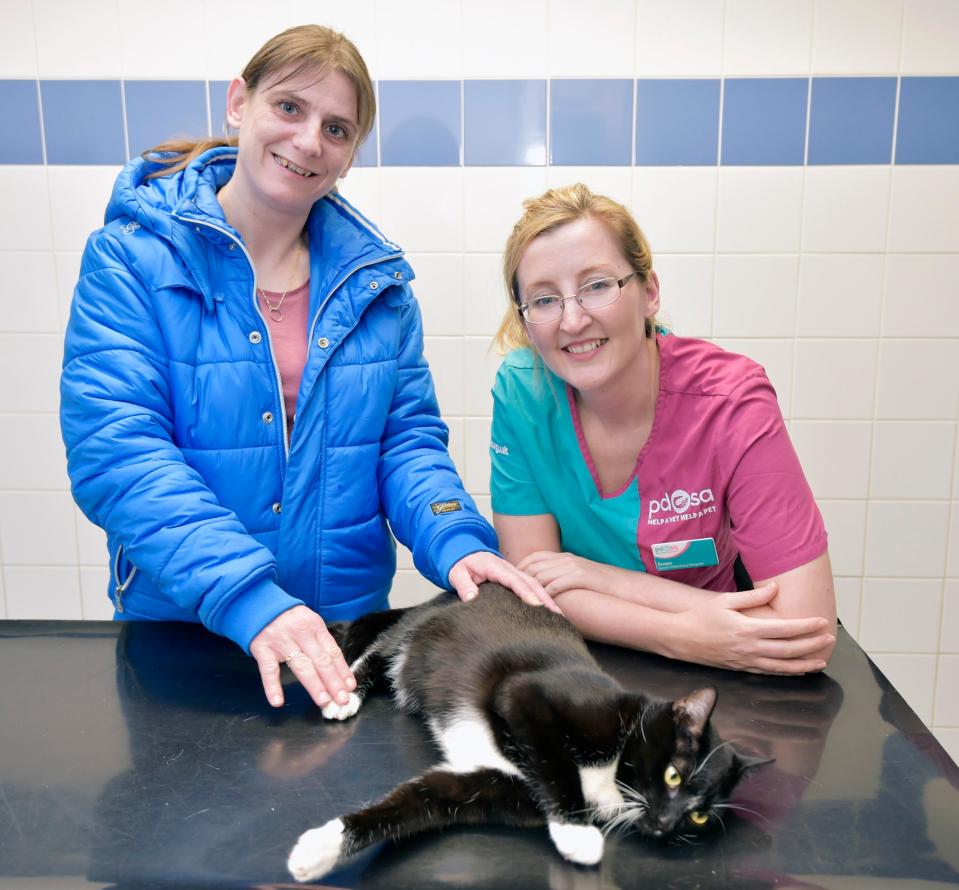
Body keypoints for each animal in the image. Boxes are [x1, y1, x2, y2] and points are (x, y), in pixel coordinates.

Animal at [284, 580, 764, 876]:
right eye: (673, 775)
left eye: (699, 816)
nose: (665, 823)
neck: (612, 774)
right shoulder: (529, 696)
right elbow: (555, 763)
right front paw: (577, 833)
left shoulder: (487, 784)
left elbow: (415, 802)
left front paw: (317, 850)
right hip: (415, 633)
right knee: (379, 654)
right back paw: (345, 694)